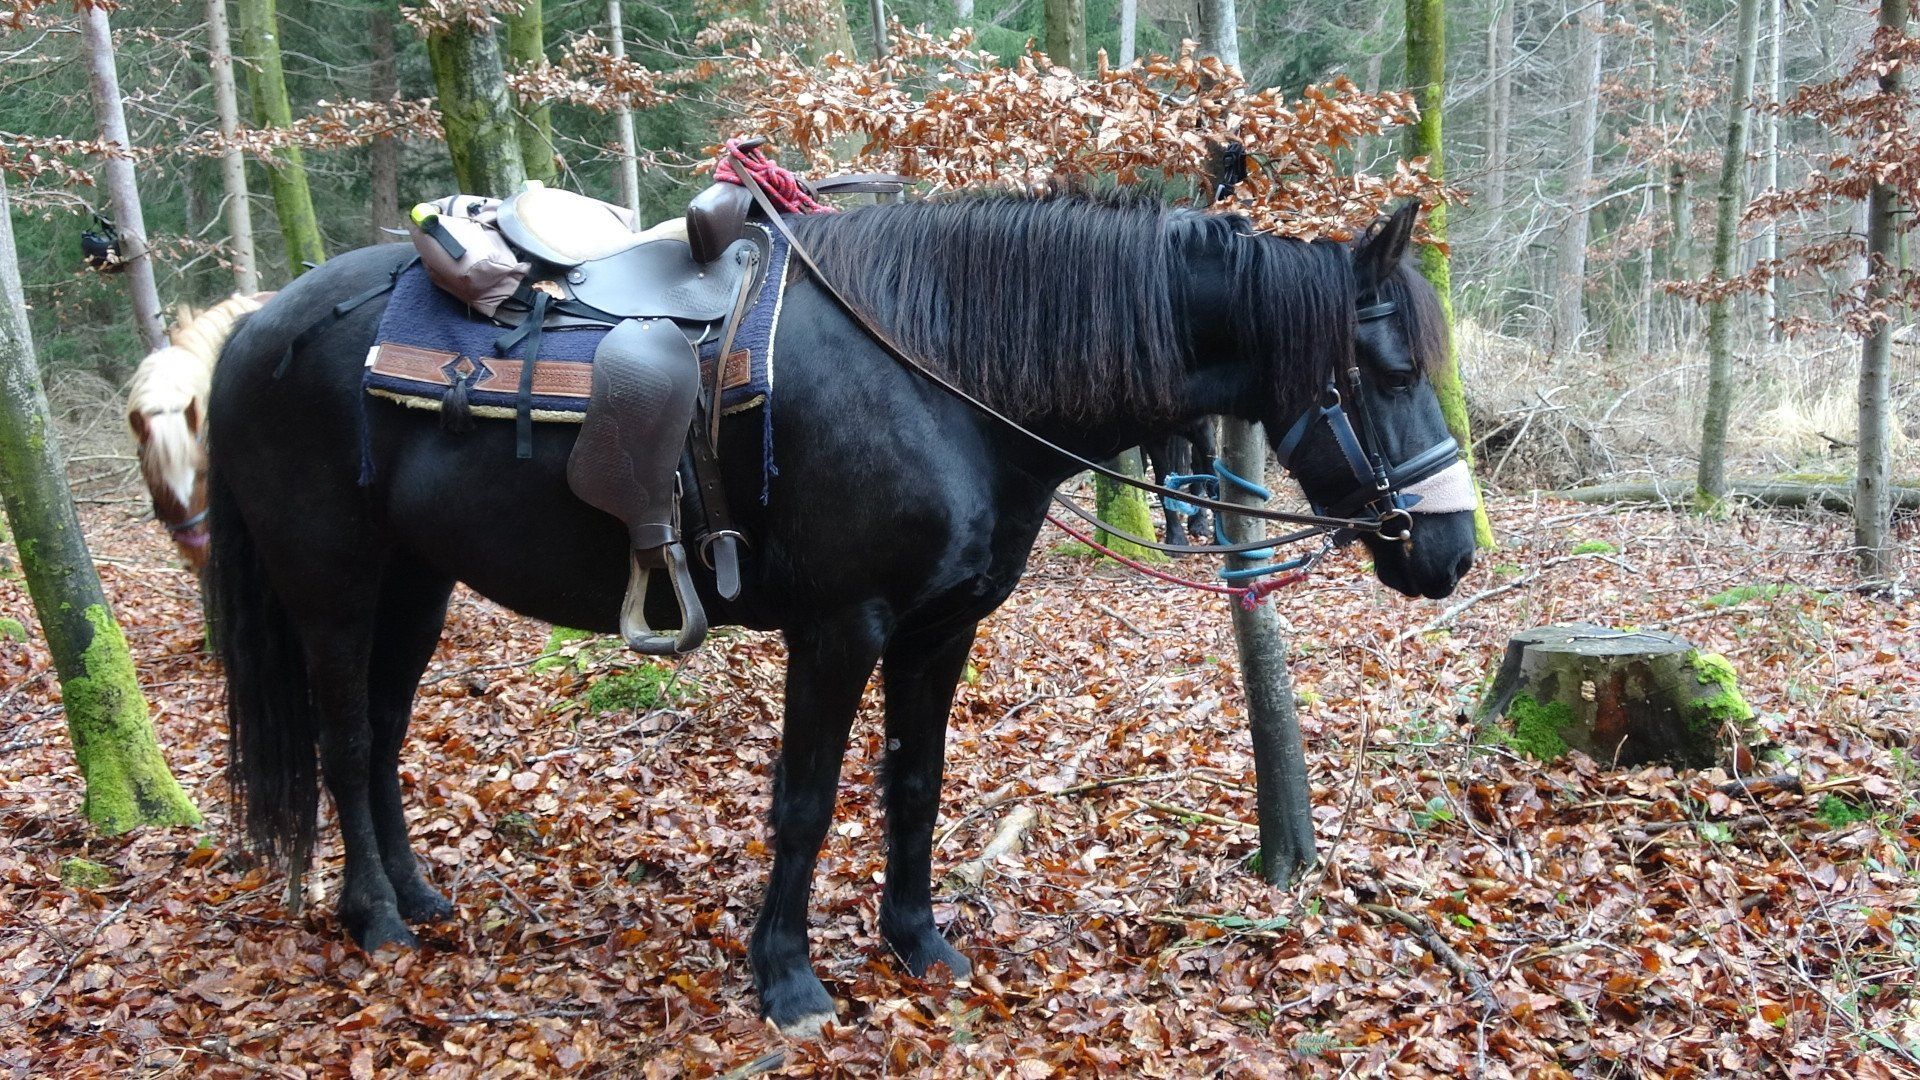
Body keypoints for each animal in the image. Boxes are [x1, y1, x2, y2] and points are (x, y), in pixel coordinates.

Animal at [206, 191, 1478, 1036]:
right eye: (1395, 370)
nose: (1453, 549)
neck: (940, 369)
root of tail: (258, 328)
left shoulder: (939, 629)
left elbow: (915, 786)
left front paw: (919, 943)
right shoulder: (840, 629)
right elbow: (808, 803)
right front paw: (787, 980)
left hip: (416, 587)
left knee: (382, 740)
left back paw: (420, 898)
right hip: (334, 587)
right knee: (346, 741)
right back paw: (373, 917)